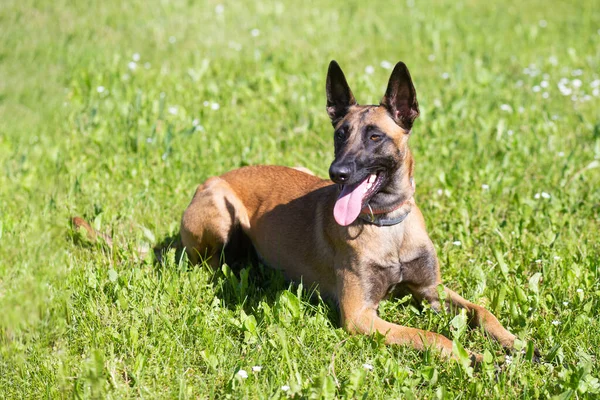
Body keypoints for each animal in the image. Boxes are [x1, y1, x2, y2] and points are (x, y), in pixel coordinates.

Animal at [177, 61, 528, 364]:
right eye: (339, 135)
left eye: (375, 137)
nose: (337, 173)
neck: (388, 227)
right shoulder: (361, 316)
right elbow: (431, 336)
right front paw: (475, 358)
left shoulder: (431, 290)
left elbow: (482, 310)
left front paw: (515, 344)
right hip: (219, 207)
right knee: (209, 264)